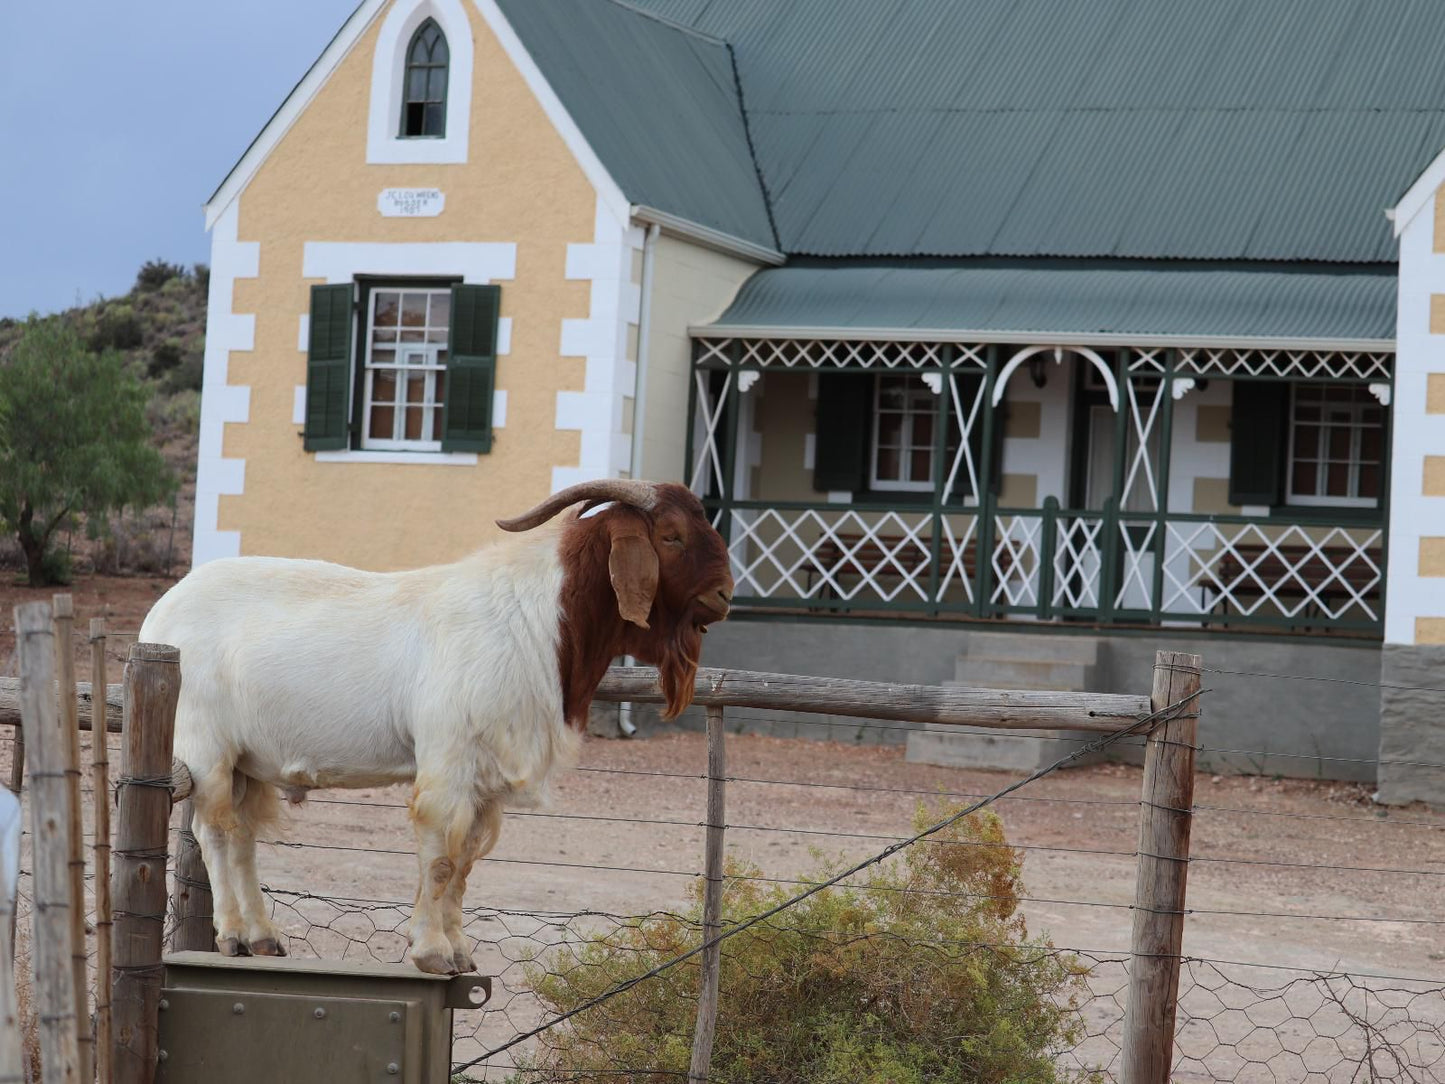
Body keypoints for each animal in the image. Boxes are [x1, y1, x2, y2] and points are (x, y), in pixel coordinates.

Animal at [140, 482, 734, 977]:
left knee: (242, 838)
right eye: (671, 535)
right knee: (215, 832)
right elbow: (442, 857)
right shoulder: (450, 761)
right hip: (205, 747)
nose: (725, 595)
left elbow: (466, 863)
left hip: (247, 761)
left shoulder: (486, 778)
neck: (537, 619)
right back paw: (234, 936)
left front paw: (461, 951)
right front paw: (431, 952)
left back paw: (264, 937)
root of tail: (158, 615)